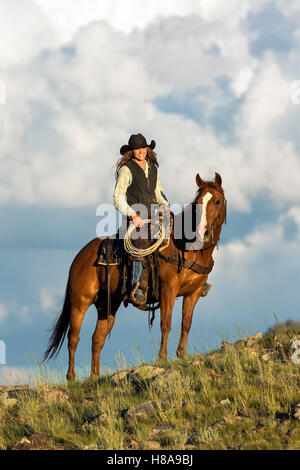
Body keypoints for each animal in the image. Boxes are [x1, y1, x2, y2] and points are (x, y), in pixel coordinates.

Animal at [44, 171, 225, 380]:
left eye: (217, 201)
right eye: (197, 202)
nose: (202, 231)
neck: (187, 248)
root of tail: (79, 258)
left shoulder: (193, 293)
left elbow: (186, 323)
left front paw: (181, 355)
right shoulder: (168, 289)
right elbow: (166, 322)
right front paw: (162, 357)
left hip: (107, 305)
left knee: (97, 339)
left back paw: (95, 376)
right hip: (80, 303)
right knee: (73, 338)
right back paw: (72, 378)